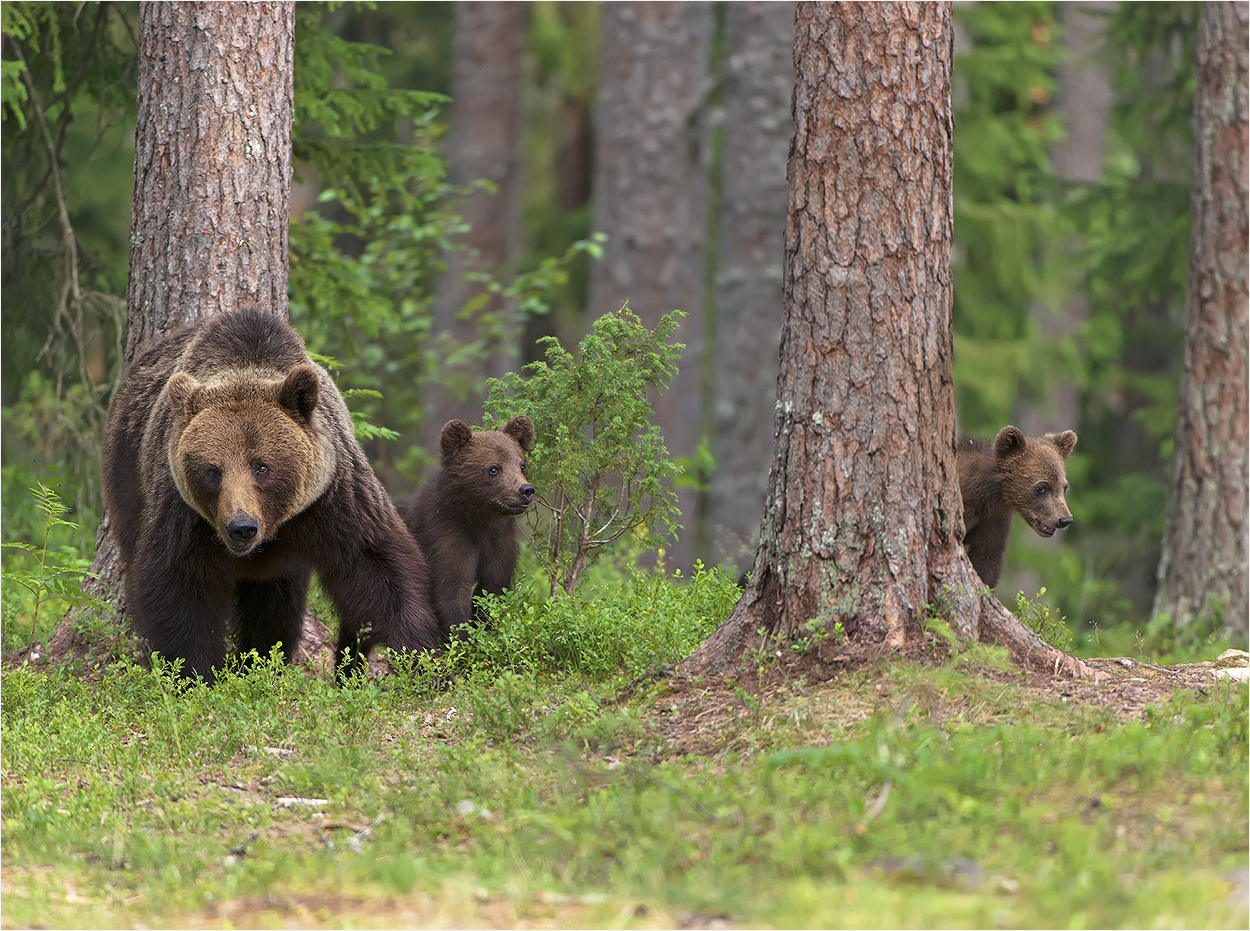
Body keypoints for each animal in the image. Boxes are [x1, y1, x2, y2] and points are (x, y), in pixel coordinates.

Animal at [105, 308, 442, 679]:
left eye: (261, 466)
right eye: (212, 470)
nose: (241, 527)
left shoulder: (333, 498)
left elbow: (378, 570)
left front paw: (424, 660)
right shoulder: (184, 512)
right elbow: (176, 588)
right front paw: (196, 674)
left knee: (276, 608)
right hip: (128, 477)